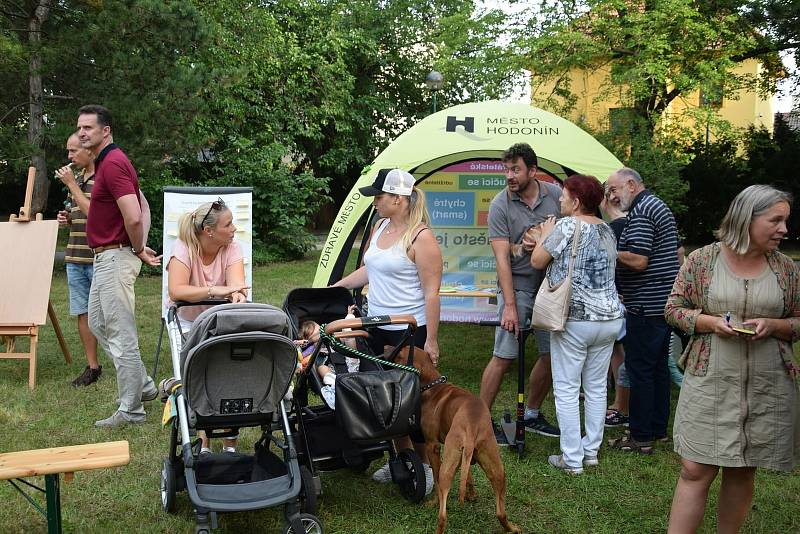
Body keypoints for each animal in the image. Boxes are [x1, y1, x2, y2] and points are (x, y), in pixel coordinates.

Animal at [392, 348, 520, 534]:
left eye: (399, 354)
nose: (386, 348)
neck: (433, 385)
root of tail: (472, 426)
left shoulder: (432, 446)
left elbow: (436, 478)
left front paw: (435, 501)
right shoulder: (465, 456)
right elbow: (468, 475)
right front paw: (471, 494)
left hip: (448, 466)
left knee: (442, 515)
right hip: (497, 468)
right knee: (500, 512)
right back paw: (512, 528)